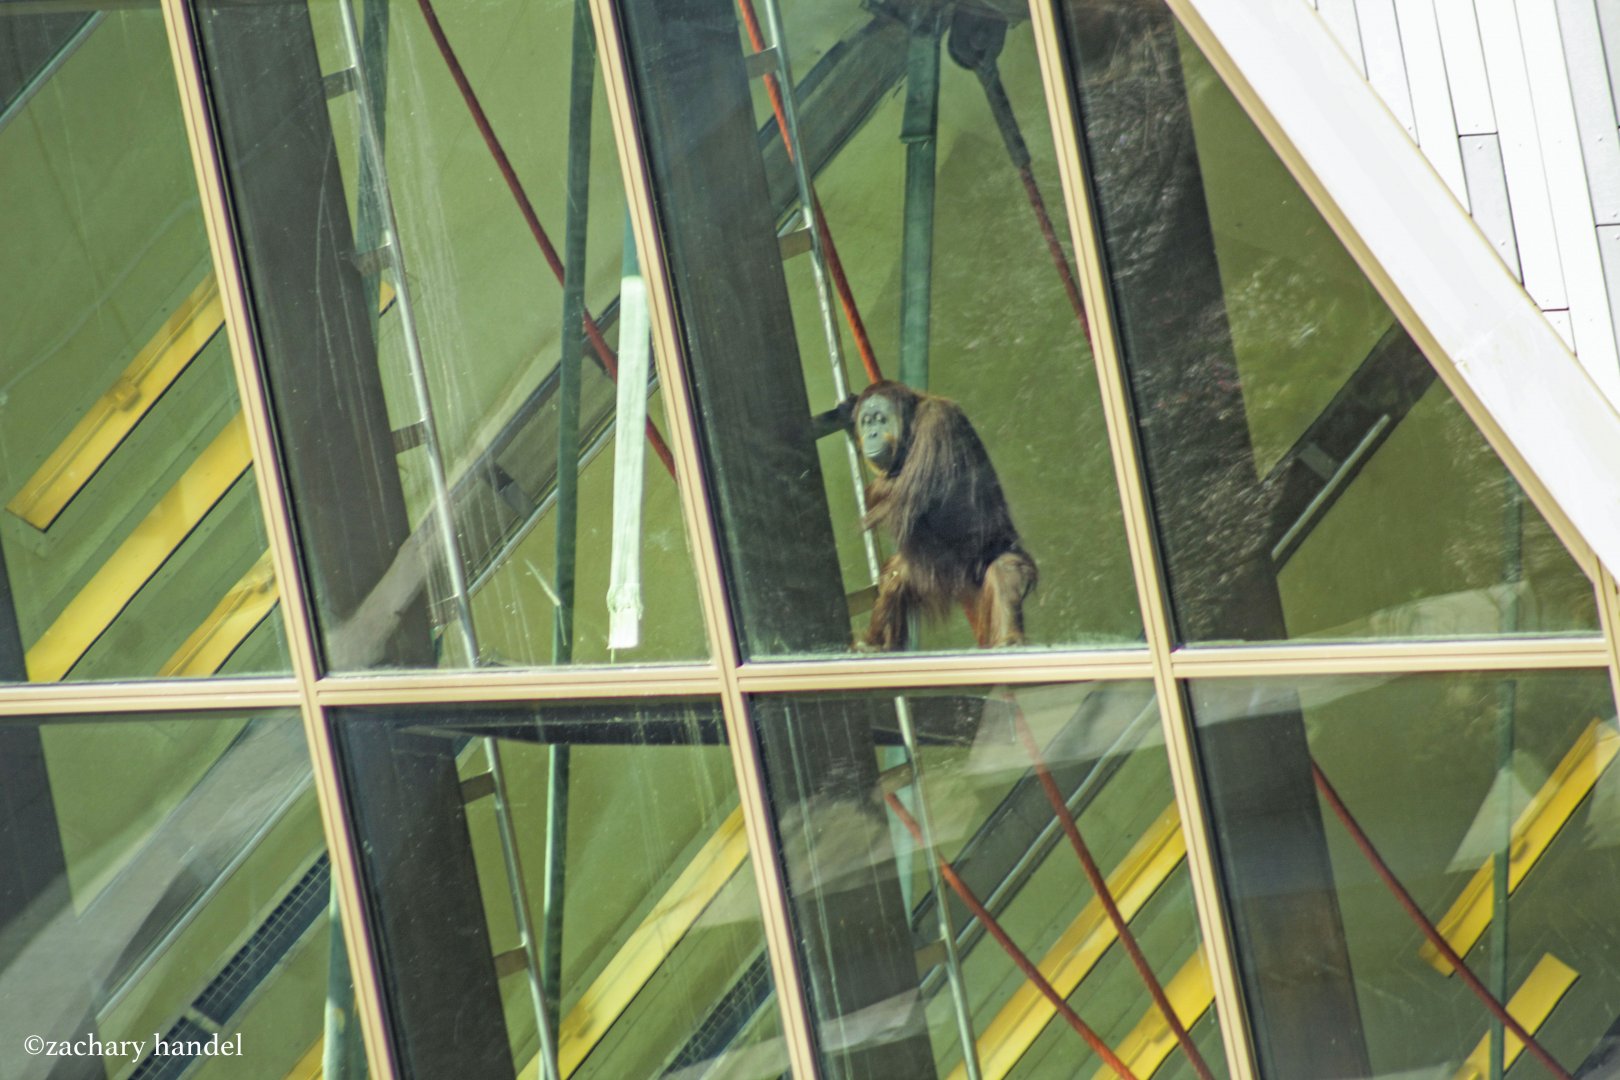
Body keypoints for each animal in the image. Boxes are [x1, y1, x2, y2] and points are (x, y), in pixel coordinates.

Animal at [849, 380, 1036, 651]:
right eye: (867, 421)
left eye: (880, 419)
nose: (871, 433)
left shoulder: (935, 423)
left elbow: (905, 496)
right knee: (895, 578)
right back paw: (876, 646)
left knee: (1005, 571)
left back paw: (1009, 643)